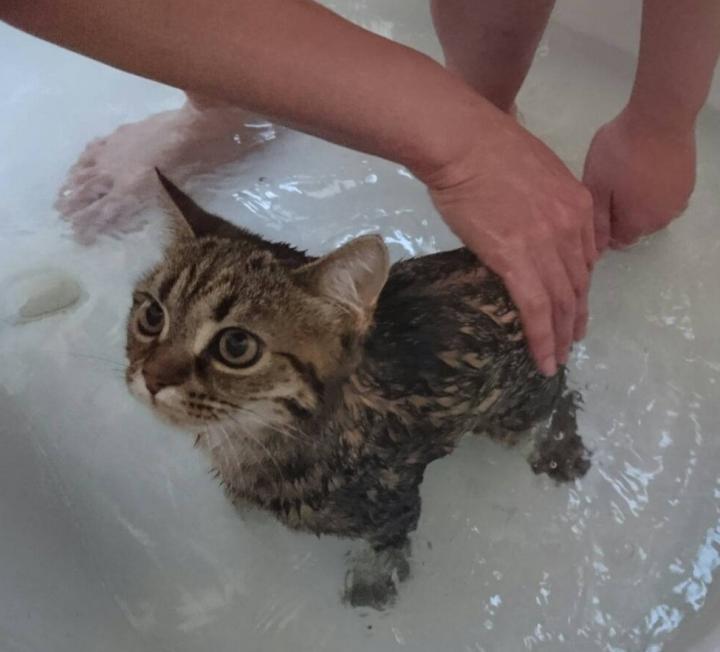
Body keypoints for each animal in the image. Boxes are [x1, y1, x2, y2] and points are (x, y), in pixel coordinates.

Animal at [125, 170, 590, 609]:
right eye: (152, 315)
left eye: (236, 346)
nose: (152, 377)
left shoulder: (394, 504)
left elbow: (385, 546)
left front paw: (371, 582)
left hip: (517, 403)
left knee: (559, 394)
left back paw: (559, 447)